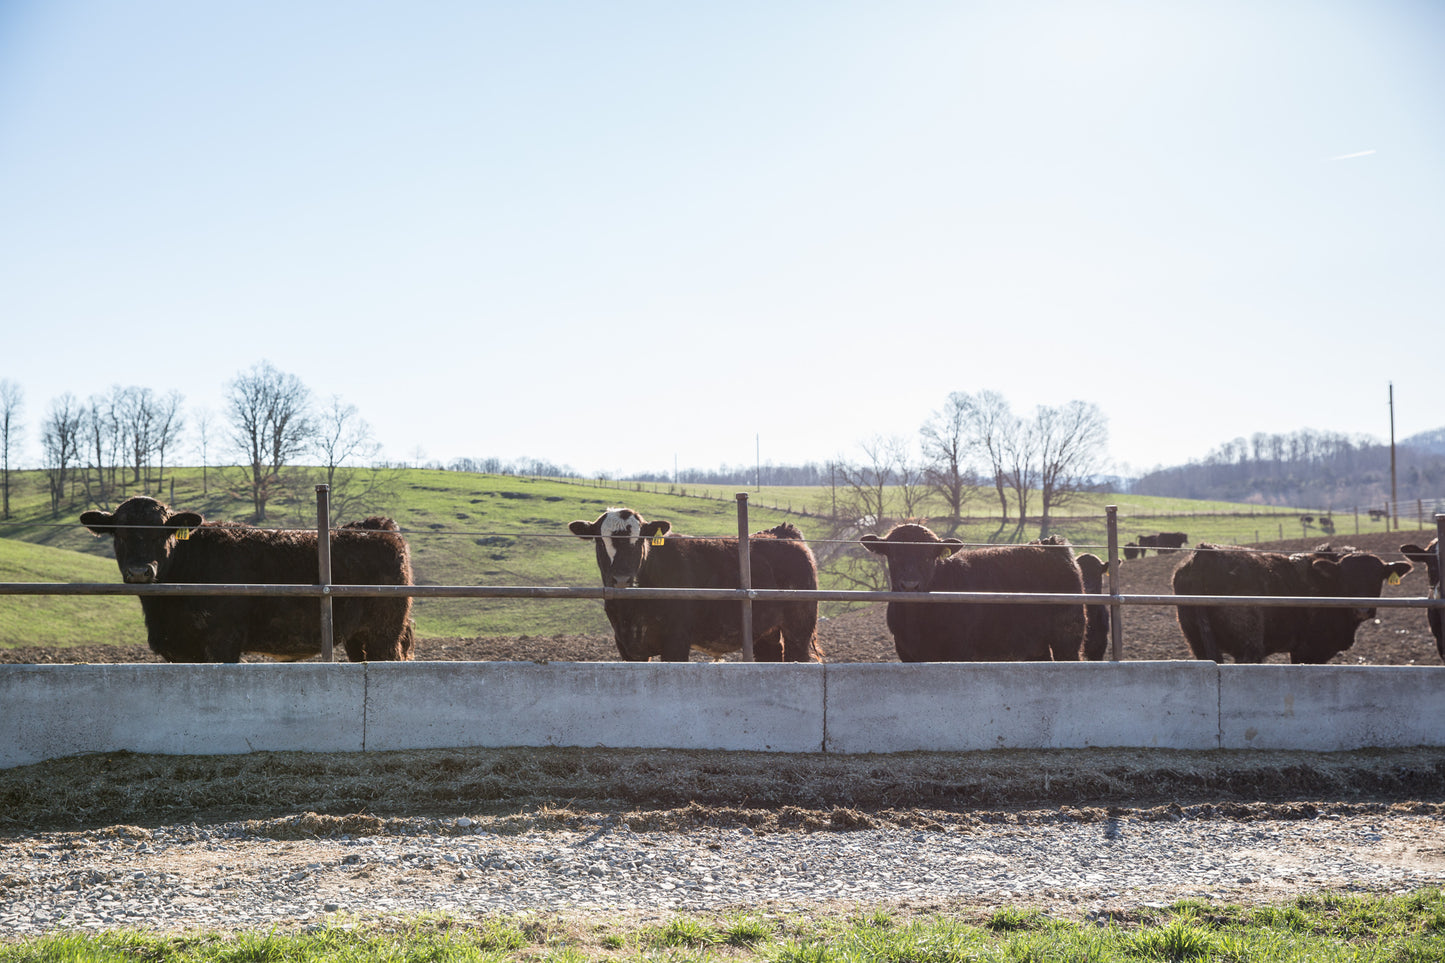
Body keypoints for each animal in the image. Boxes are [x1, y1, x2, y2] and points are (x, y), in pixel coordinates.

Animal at [80, 496, 415, 663]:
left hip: (384, 632)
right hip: (358, 636)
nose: (140, 571)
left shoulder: (223, 638)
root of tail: (377, 525)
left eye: (163, 532)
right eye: (120, 533)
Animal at [569, 507, 821, 662]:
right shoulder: (627, 646)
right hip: (766, 632)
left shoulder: (677, 640)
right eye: (600, 541)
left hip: (799, 627)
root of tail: (783, 533)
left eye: (640, 540)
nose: (622, 578)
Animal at [860, 523, 1086, 662]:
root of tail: (1050, 546)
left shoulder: (959, 651)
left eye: (928, 556)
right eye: (893, 555)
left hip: (1068, 636)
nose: (909, 586)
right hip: (1035, 643)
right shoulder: (907, 653)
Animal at [1171, 542, 1412, 664]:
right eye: (1346, 577)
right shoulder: (1309, 650)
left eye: (1377, 577)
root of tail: (1204, 554)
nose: (1363, 609)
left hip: (1197, 642)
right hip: (1249, 645)